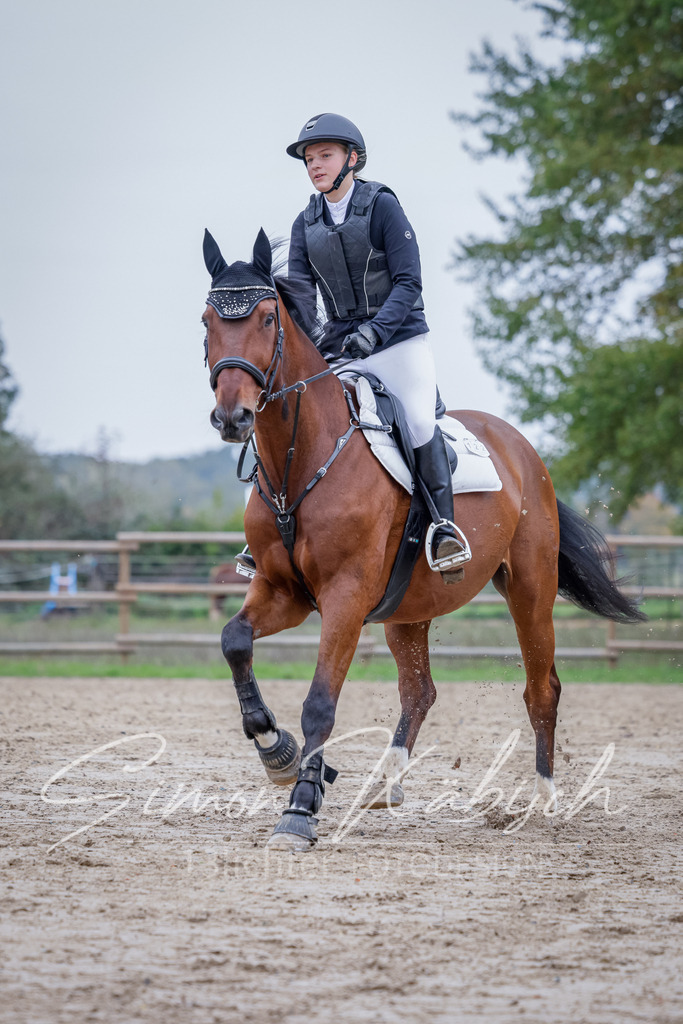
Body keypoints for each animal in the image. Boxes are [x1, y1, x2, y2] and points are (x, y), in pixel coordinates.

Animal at [201, 227, 645, 852]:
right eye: (206, 321)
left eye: (267, 318)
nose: (231, 417)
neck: (302, 460)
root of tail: (524, 450)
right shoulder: (282, 591)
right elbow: (234, 641)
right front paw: (277, 752)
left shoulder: (344, 597)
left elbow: (320, 703)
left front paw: (300, 811)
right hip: (407, 608)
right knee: (420, 690)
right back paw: (383, 784)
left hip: (531, 590)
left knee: (542, 690)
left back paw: (542, 800)